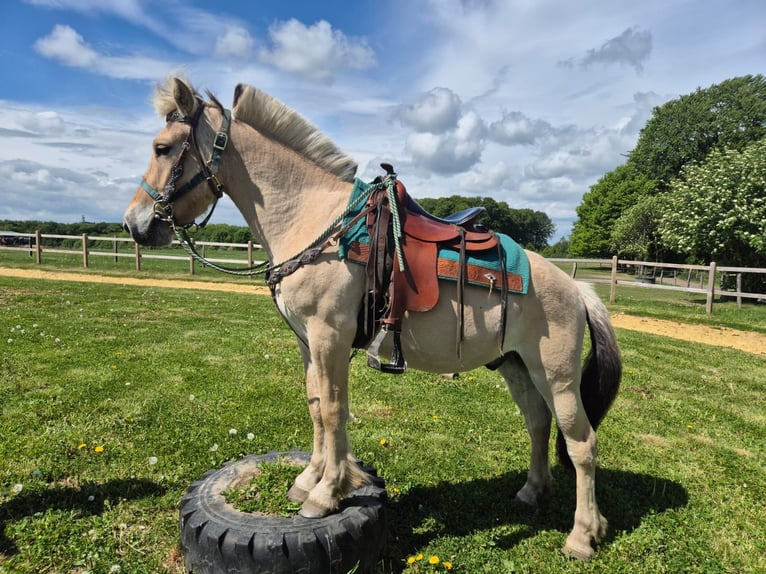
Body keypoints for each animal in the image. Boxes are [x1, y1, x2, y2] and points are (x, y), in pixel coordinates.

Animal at [123, 76, 621, 560]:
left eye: (162, 148)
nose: (135, 223)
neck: (314, 223)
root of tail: (576, 289)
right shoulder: (308, 342)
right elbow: (317, 406)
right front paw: (309, 479)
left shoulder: (329, 337)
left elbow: (334, 411)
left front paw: (326, 493)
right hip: (517, 366)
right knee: (538, 422)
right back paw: (533, 491)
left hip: (556, 374)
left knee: (582, 443)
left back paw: (582, 536)